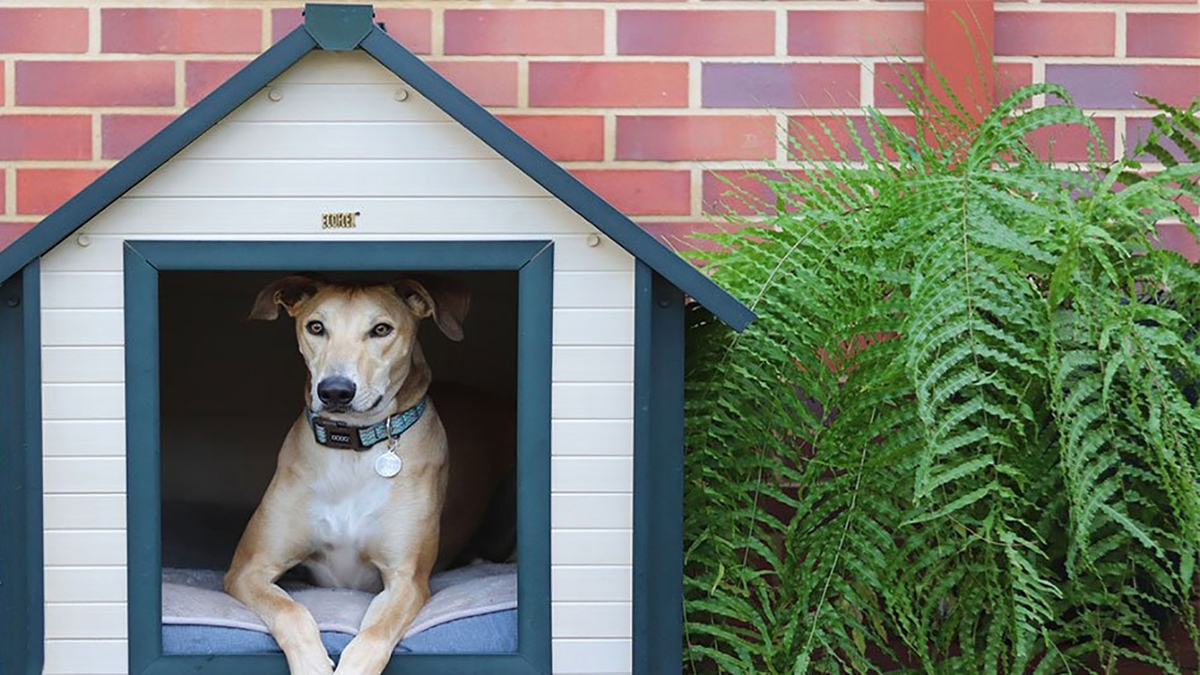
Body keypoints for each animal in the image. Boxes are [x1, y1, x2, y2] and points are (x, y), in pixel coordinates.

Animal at [223, 275, 499, 672]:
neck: (350, 454)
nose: (335, 391)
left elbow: (373, 637)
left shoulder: (406, 580)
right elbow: (291, 611)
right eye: (316, 327)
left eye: (381, 329)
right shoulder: (249, 568)